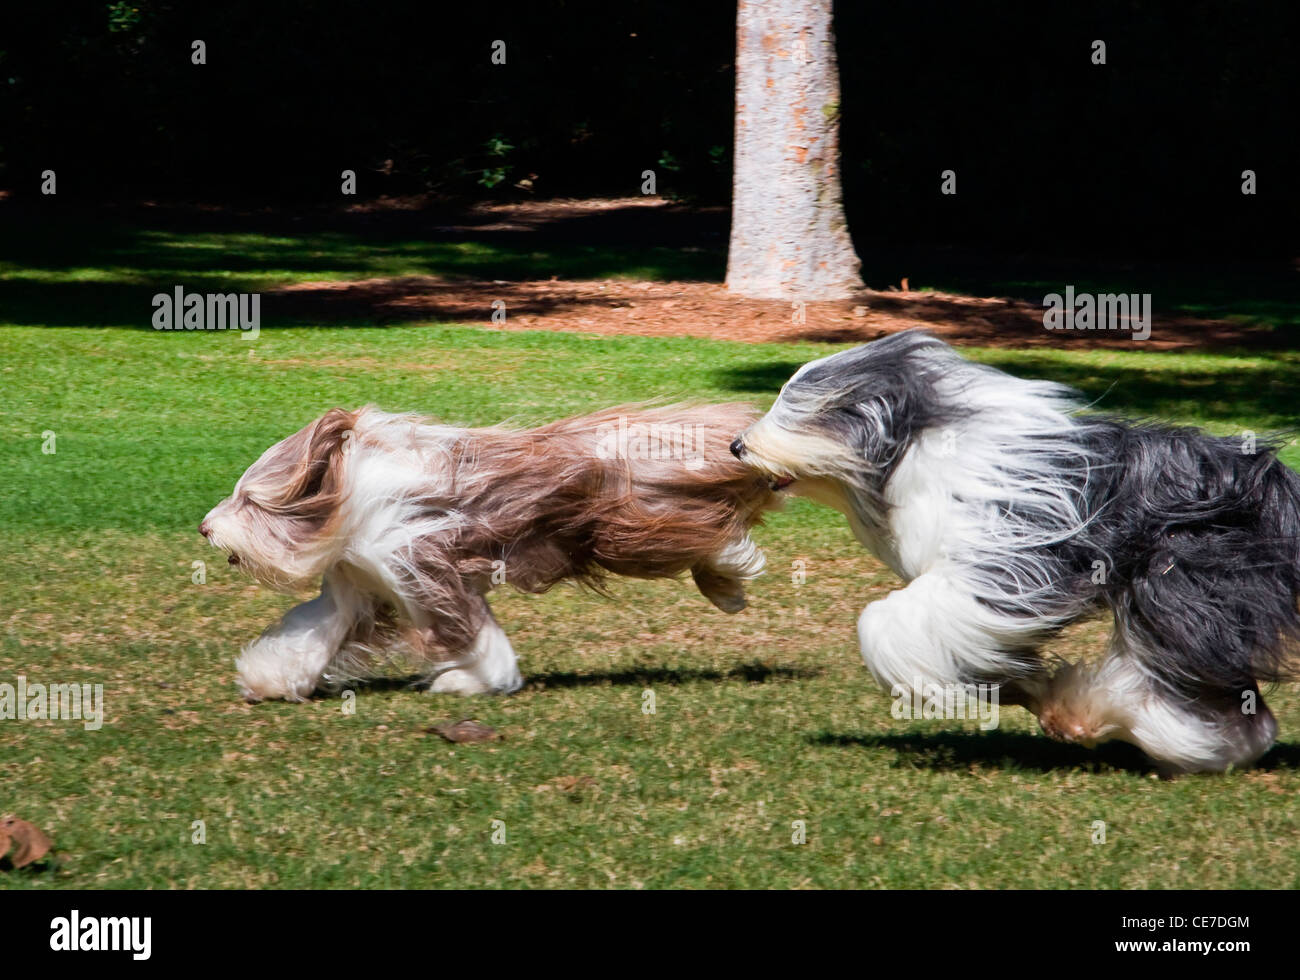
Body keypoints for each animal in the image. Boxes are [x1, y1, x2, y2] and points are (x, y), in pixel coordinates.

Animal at [200, 400, 769, 696]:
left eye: (248, 500)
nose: (205, 527)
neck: (348, 502)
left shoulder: (424, 566)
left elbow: (473, 632)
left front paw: (472, 680)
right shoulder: (359, 585)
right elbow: (315, 632)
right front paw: (269, 677)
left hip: (617, 529)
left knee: (704, 532)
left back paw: (731, 574)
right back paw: (728, 581)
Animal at [733, 330, 1300, 769]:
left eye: (794, 406)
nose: (737, 445)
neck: (914, 448)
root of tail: (1275, 484)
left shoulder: (1005, 563)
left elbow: (887, 620)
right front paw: (1010, 681)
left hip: (1178, 577)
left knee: (1181, 670)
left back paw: (1103, 719)